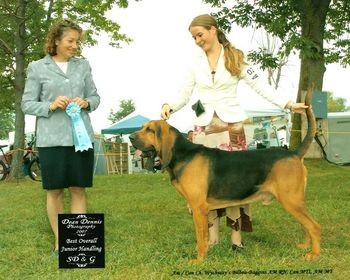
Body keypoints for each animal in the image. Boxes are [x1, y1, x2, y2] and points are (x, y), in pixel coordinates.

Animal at [129, 91, 320, 264]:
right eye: (143, 127)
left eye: (150, 130)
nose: (130, 137)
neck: (181, 154)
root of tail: (294, 152)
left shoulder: (198, 208)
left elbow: (201, 237)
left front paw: (198, 261)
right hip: (295, 202)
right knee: (306, 226)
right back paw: (305, 246)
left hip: (291, 201)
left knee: (314, 226)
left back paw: (314, 254)